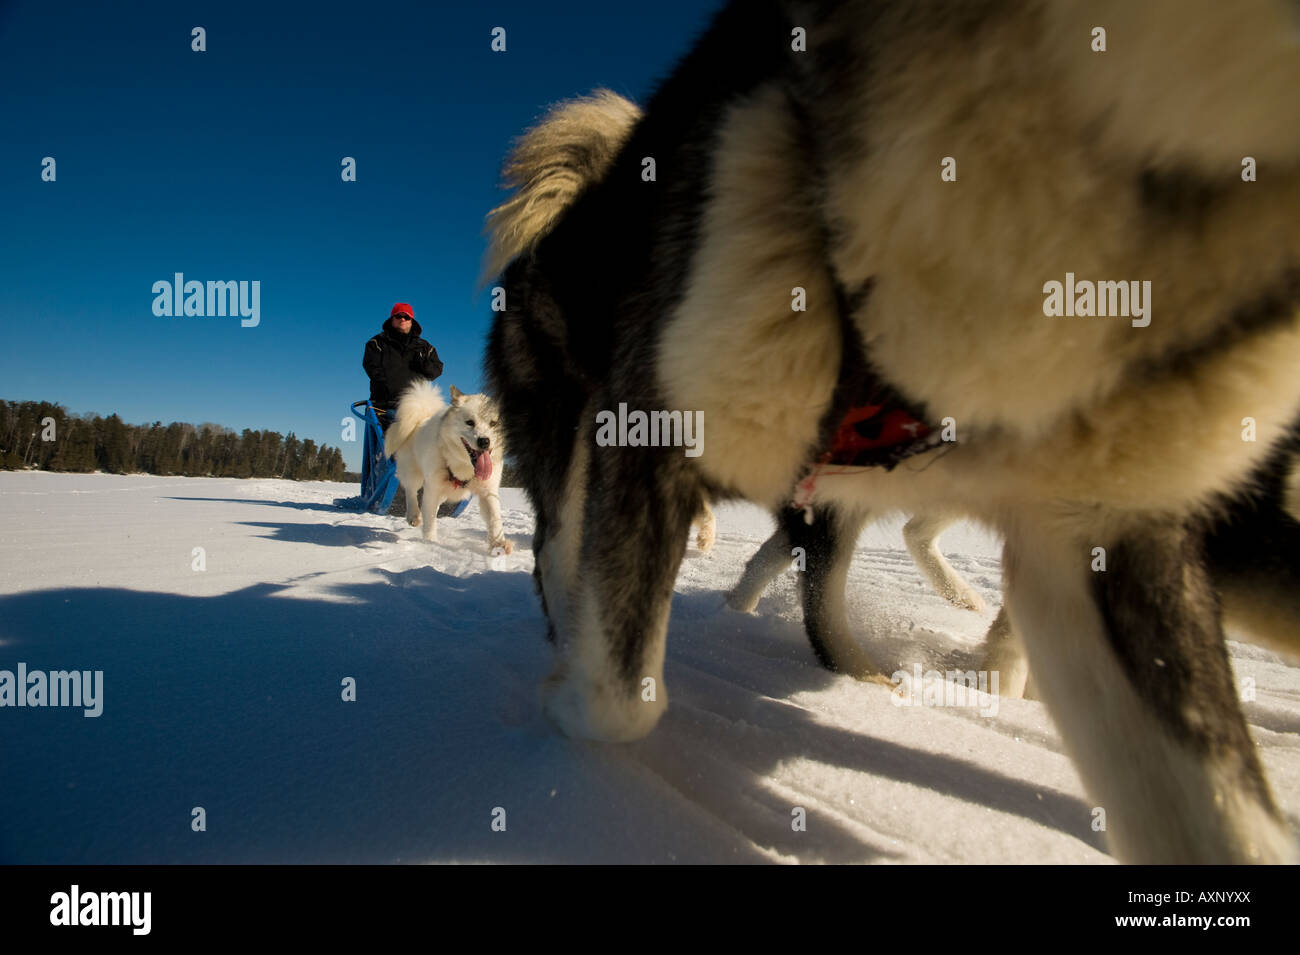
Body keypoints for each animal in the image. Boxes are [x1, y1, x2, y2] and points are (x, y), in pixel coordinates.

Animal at [382, 382, 509, 553]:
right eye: (470, 422)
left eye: (493, 423)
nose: (484, 441)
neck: (464, 466)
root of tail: (422, 417)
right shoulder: (432, 488)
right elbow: (429, 519)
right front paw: (430, 543)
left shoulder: (488, 491)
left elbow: (494, 518)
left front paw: (498, 545)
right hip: (414, 473)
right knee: (411, 491)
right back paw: (414, 515)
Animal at [486, 0, 1300, 867]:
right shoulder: (649, 423)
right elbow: (620, 697)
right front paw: (567, 700)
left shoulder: (1092, 531)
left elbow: (1224, 818)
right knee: (562, 549)